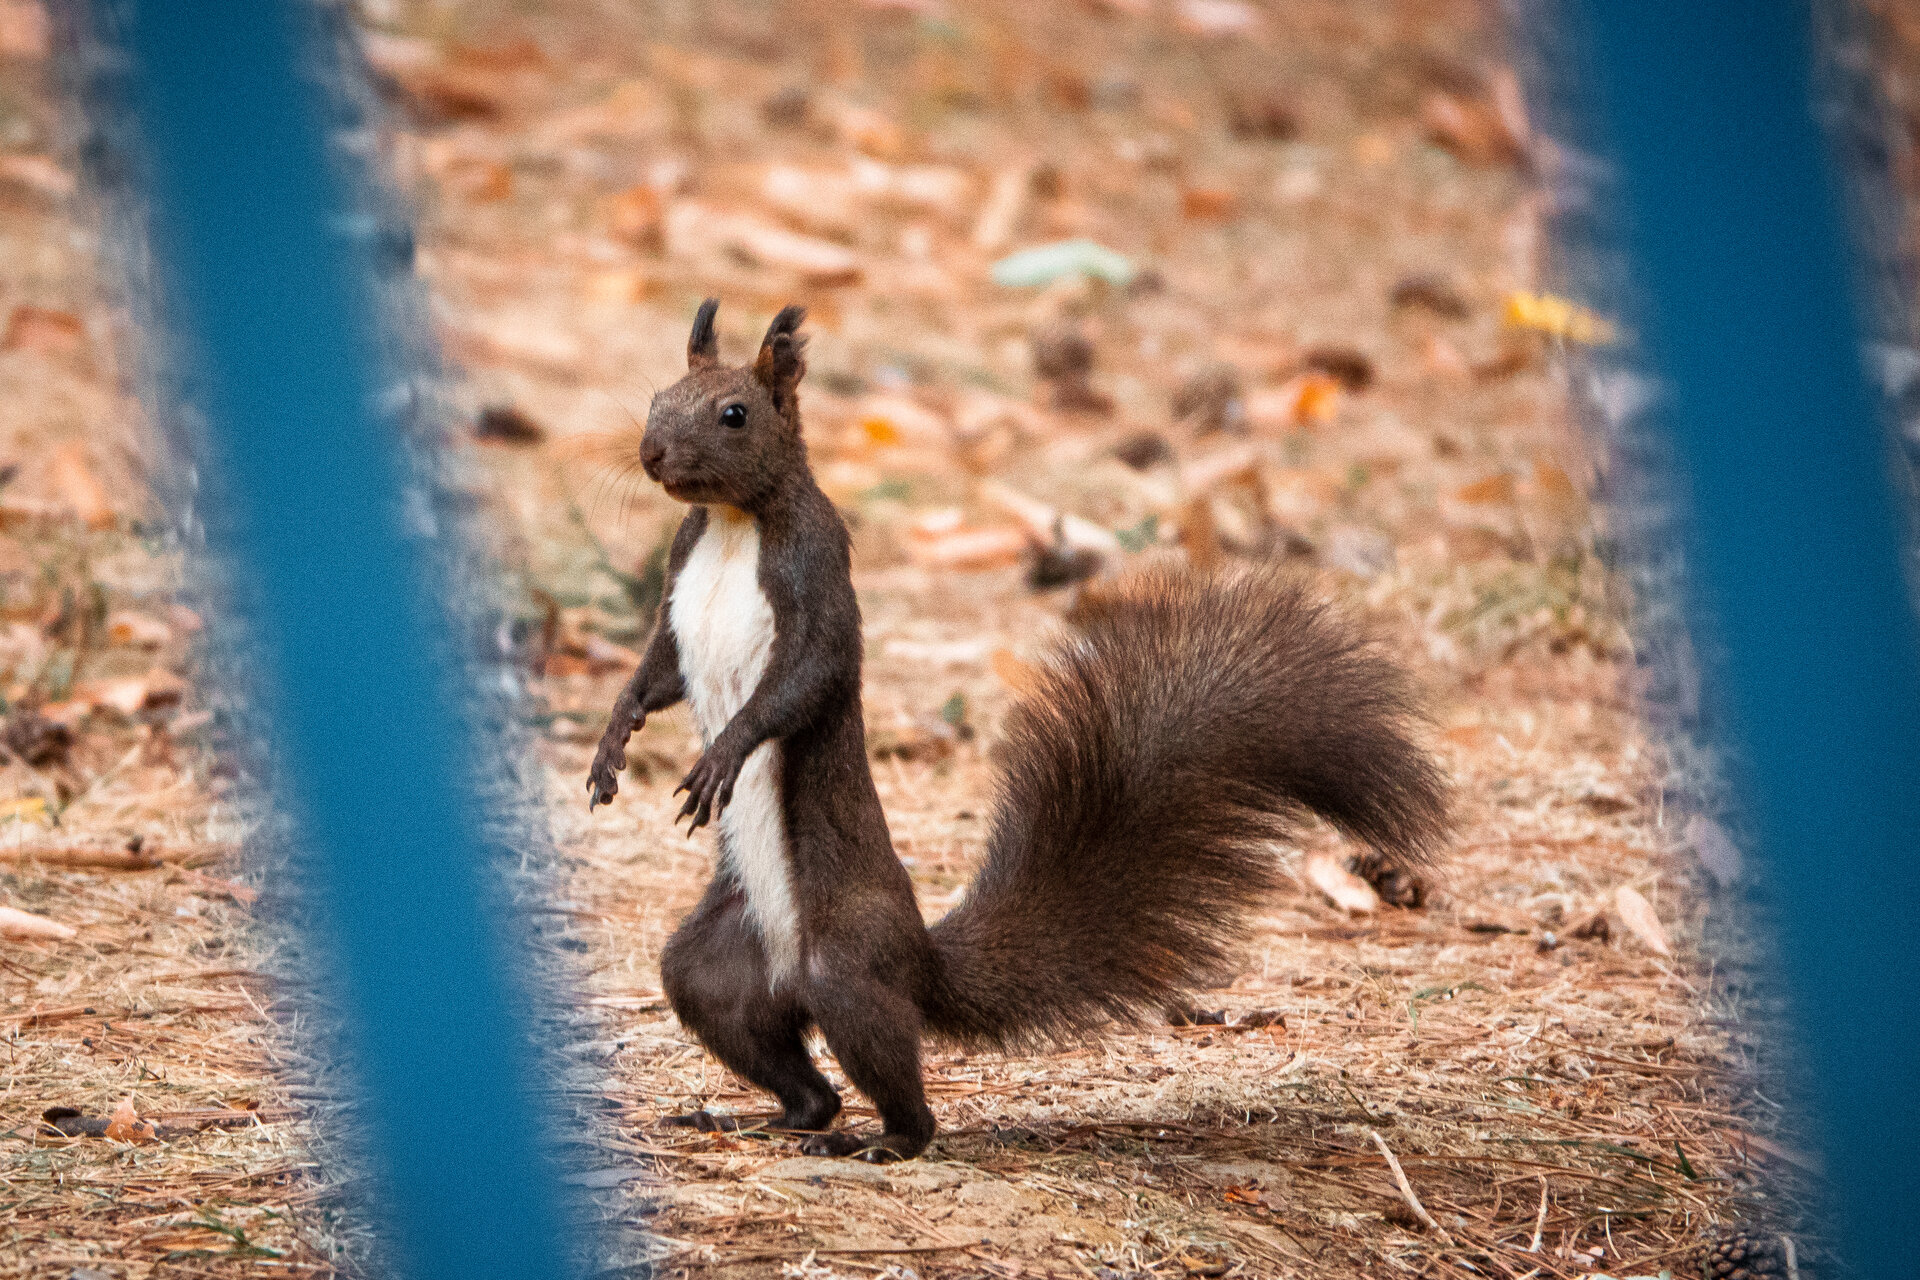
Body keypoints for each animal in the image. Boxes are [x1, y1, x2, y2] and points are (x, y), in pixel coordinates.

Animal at [591, 297, 1443, 1159]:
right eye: (660, 396)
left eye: (734, 414)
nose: (651, 453)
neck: (734, 524)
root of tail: (915, 962)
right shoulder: (679, 584)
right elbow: (657, 673)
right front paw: (611, 743)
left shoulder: (816, 571)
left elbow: (802, 681)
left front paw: (720, 756)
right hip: (715, 971)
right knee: (799, 1079)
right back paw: (749, 1116)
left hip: (846, 968)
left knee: (894, 1096)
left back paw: (878, 1141)